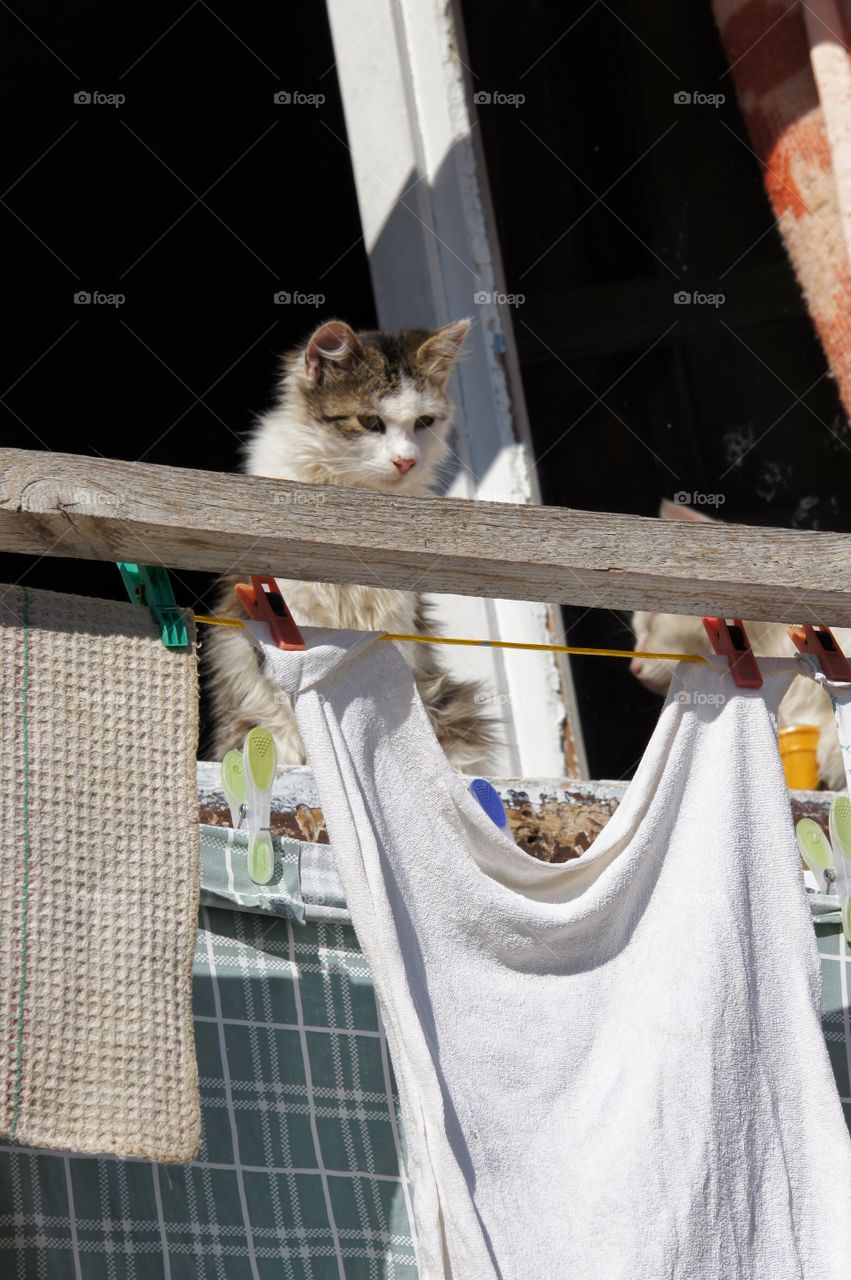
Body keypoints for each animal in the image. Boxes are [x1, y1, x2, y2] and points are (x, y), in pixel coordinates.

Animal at [206, 317, 499, 768]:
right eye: (369, 422)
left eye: (424, 422)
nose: (406, 461)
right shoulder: (288, 610)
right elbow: (296, 700)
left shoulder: (394, 619)